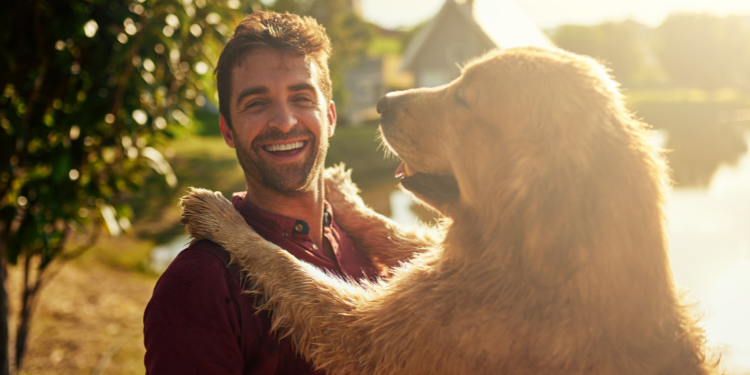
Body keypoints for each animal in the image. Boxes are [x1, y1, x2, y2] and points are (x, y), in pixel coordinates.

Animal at [181, 47, 716, 375]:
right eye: (456, 79)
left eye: (463, 98)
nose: (383, 100)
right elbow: (397, 233)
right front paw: (342, 191)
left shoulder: (377, 337)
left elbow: (287, 266)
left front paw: (222, 217)